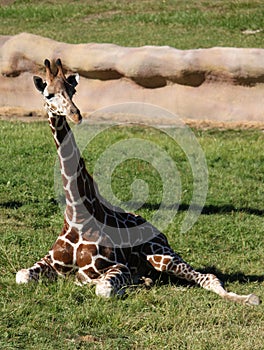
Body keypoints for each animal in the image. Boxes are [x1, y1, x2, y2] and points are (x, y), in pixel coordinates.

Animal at [15, 58, 260, 304]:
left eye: (72, 90)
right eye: (49, 94)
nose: (76, 114)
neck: (78, 215)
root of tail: (156, 229)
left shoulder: (116, 266)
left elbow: (100, 287)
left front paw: (118, 285)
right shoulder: (50, 261)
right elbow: (22, 275)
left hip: (163, 256)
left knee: (208, 277)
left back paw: (249, 298)